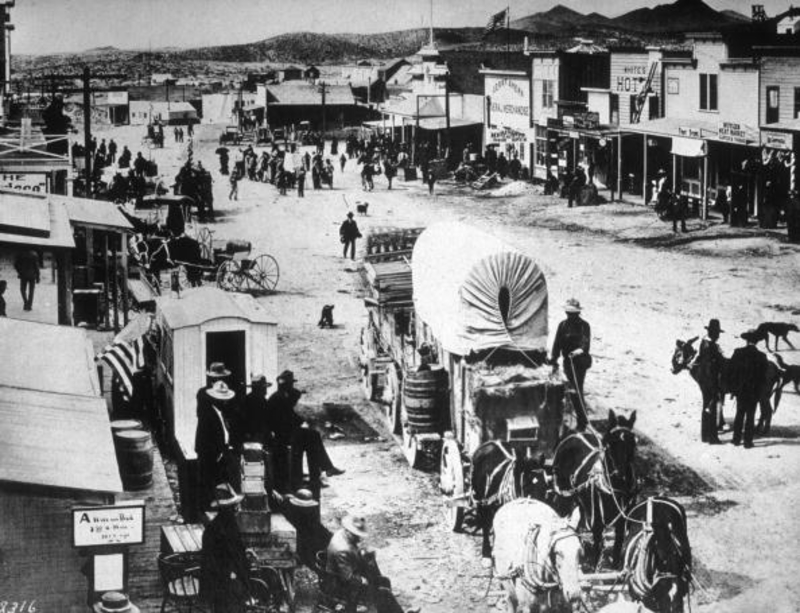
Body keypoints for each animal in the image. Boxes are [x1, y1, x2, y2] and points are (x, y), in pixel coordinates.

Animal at [552, 412, 636, 568]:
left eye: (633, 442)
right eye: (609, 443)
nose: (620, 476)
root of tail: (579, 430)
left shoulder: (622, 521)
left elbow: (617, 546)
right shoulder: (596, 520)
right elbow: (597, 546)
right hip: (563, 495)